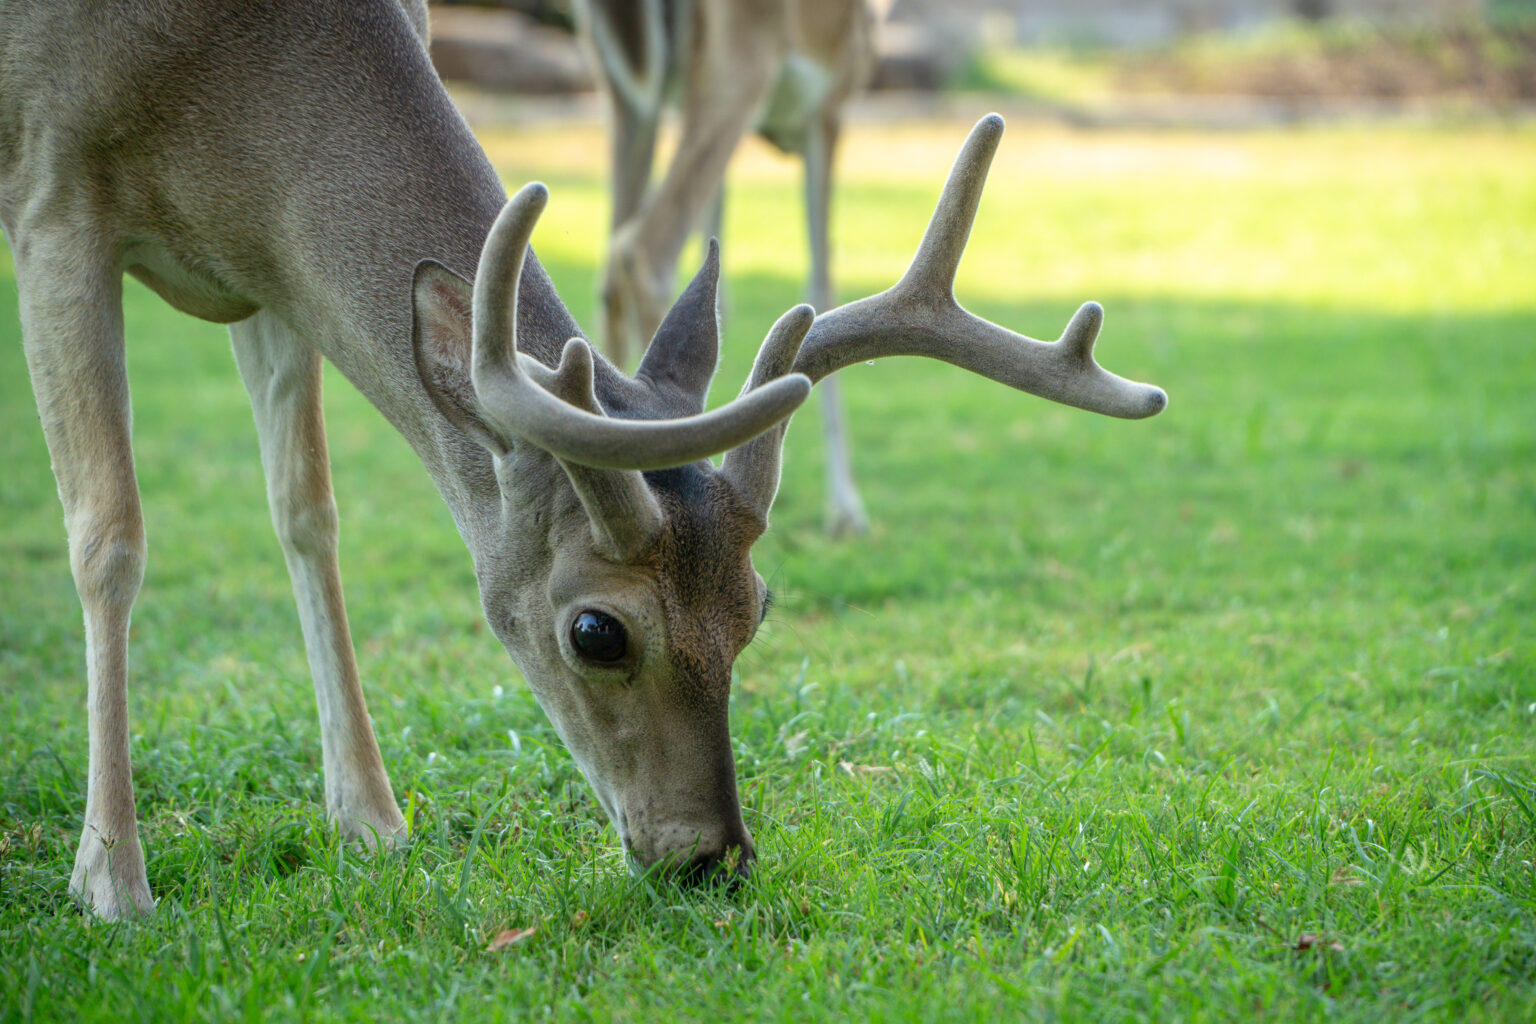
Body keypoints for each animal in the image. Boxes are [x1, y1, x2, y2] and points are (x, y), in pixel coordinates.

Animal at [574, 0, 885, 536]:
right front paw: (847, 509)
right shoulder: (827, 107)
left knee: (613, 256)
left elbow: (717, 264)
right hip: (736, 72)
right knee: (644, 248)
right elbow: (822, 280)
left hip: (623, 95)